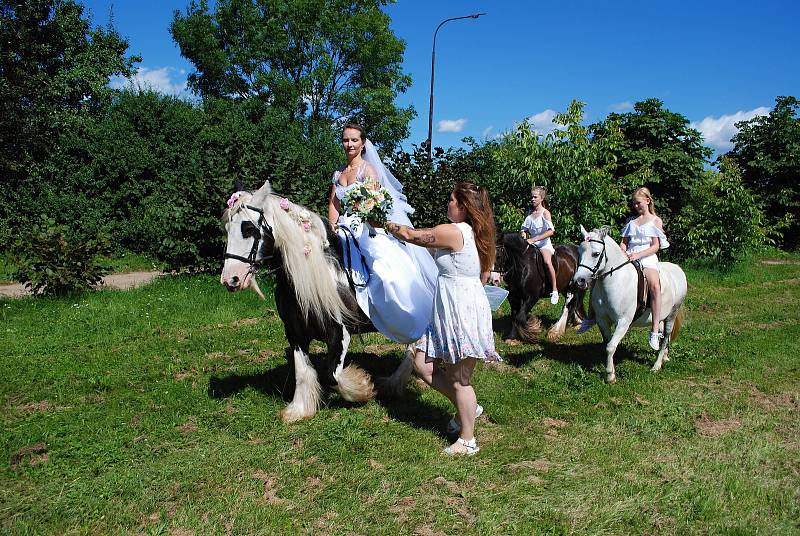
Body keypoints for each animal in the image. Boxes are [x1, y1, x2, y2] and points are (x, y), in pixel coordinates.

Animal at [568, 224, 688, 384]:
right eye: (580, 253)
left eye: (595, 254)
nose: (578, 280)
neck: (615, 281)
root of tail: (677, 269)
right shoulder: (602, 320)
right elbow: (608, 344)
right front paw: (611, 371)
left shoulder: (623, 321)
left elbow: (610, 347)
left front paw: (610, 376)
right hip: (662, 317)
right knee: (663, 335)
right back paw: (664, 358)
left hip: (672, 314)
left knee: (666, 335)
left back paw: (656, 365)